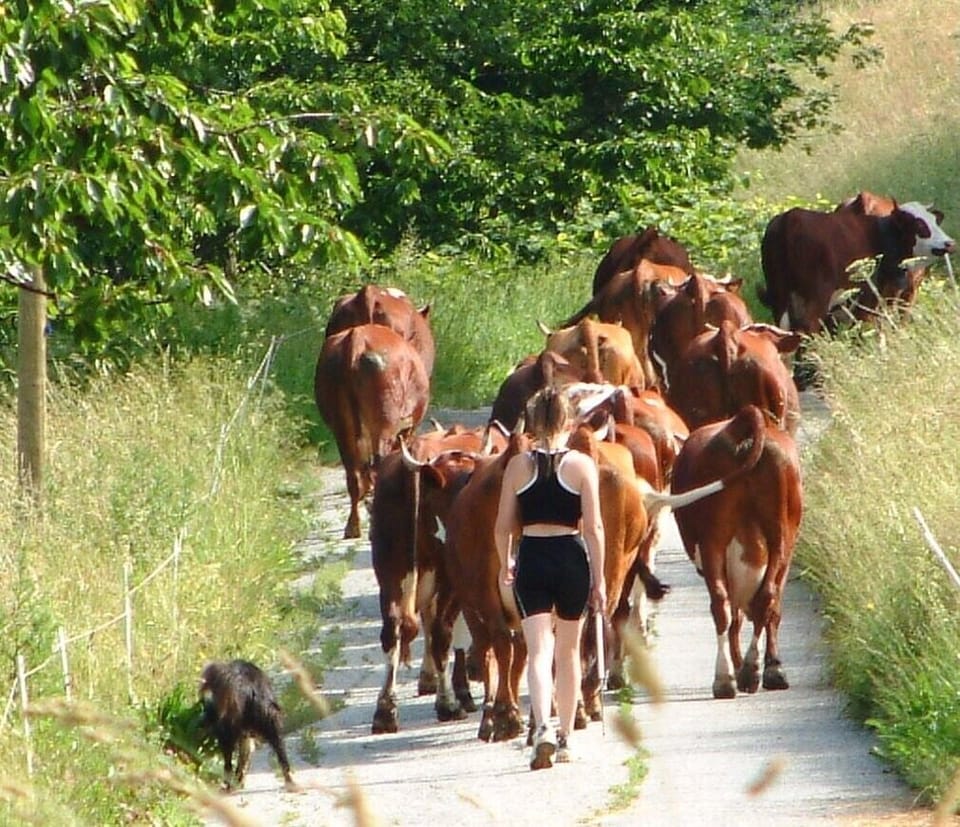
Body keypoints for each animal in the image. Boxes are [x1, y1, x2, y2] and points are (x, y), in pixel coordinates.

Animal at [314, 324, 430, 538]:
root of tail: (356, 337)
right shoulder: (407, 430)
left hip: (341, 425)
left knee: (353, 472)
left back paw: (353, 526)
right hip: (384, 422)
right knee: (377, 463)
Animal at [671, 404, 803, 699]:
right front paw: (769, 666)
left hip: (715, 540)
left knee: (727, 604)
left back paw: (728, 677)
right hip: (781, 535)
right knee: (764, 598)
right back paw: (750, 672)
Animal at [759, 200, 955, 335]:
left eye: (935, 221)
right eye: (920, 225)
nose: (950, 243)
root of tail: (789, 218)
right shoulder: (870, 298)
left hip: (780, 296)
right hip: (818, 295)